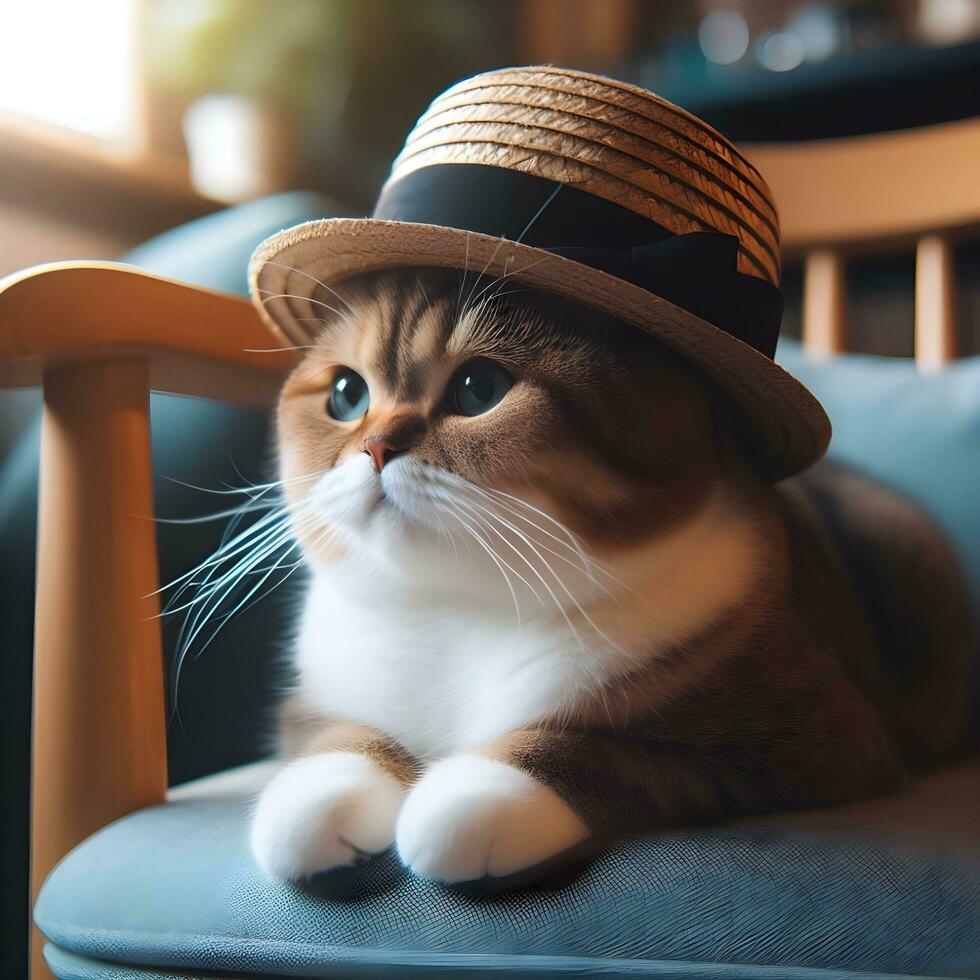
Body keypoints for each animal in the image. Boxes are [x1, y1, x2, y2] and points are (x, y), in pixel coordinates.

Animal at [247, 264, 972, 884]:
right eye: (346, 394)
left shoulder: (816, 740)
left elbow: (617, 753)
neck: (457, 613)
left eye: (479, 388)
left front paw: (476, 790)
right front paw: (322, 791)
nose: (374, 448)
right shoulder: (315, 694)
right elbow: (330, 733)